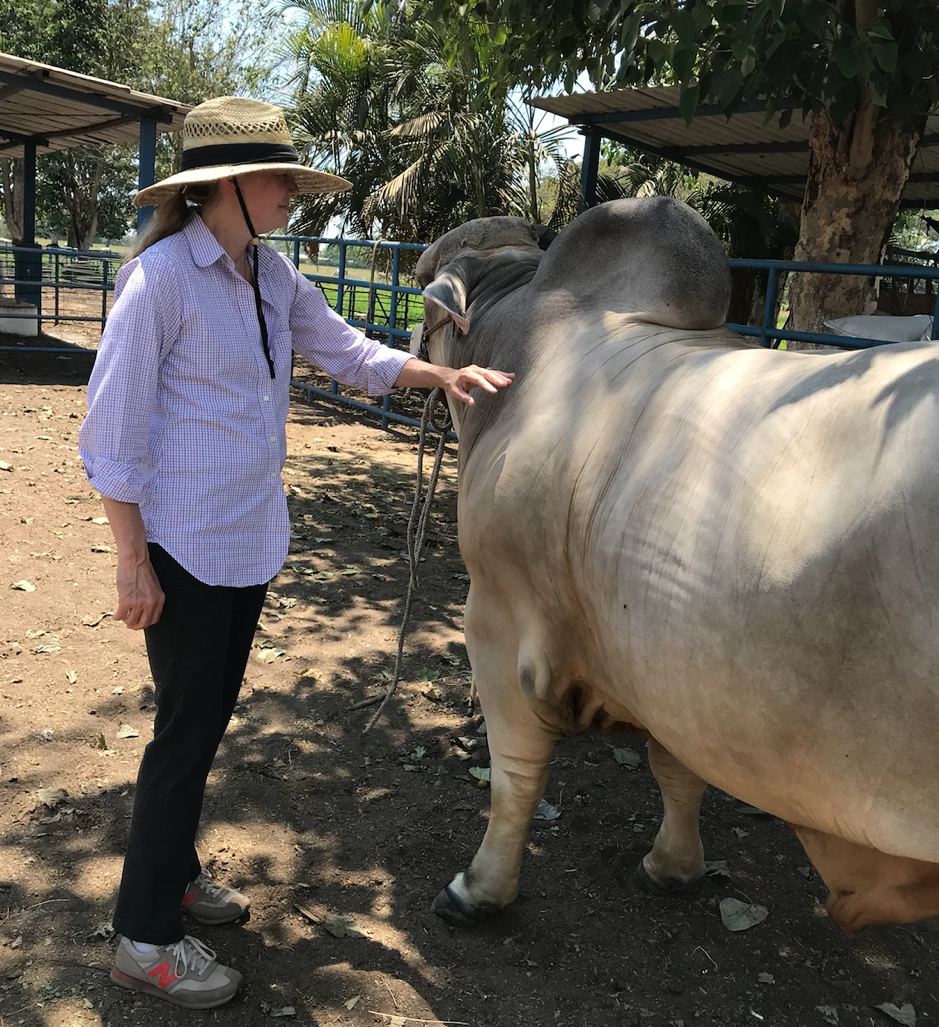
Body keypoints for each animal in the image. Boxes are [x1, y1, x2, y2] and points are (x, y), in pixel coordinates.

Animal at [412, 196, 936, 936]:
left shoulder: (498, 624)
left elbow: (515, 775)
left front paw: (479, 889)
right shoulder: (667, 673)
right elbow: (677, 769)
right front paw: (673, 866)